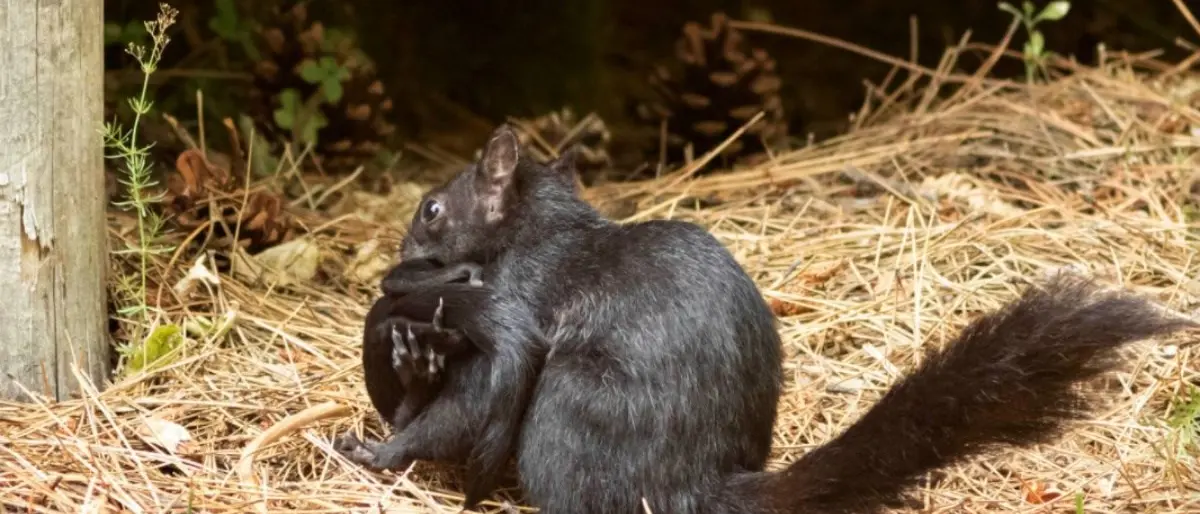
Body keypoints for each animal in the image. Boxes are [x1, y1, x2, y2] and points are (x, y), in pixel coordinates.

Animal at [337, 124, 1197, 514]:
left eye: (432, 209)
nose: (395, 262)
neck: (532, 231)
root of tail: (696, 487)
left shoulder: (513, 309)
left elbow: (469, 404)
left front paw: (381, 450)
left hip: (568, 415)